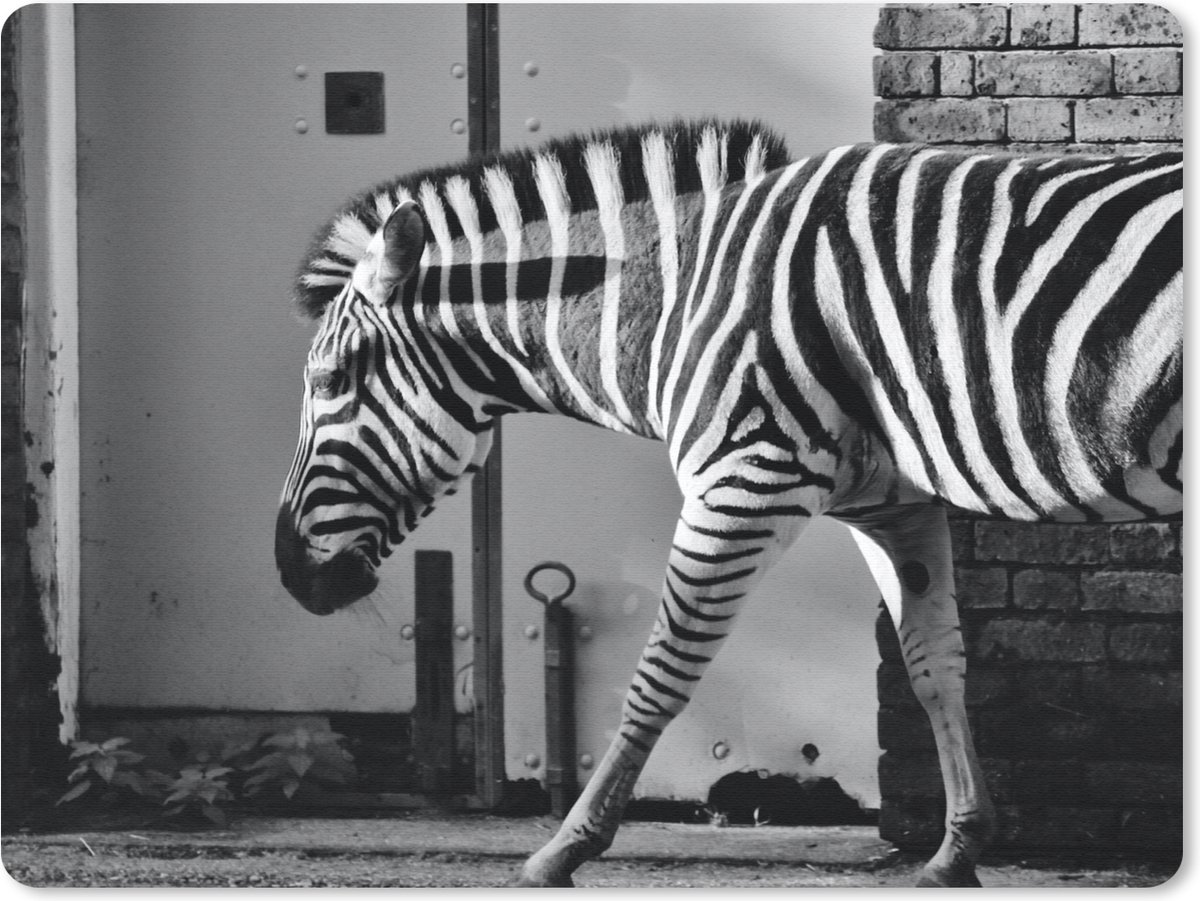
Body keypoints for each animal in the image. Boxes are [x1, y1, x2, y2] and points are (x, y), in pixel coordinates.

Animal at [275, 119, 1182, 887]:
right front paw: (957, 849)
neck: (678, 298)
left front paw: (564, 845)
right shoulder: (892, 505)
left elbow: (659, 672)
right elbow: (933, 666)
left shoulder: (745, 475)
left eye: (332, 380)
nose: (290, 572)